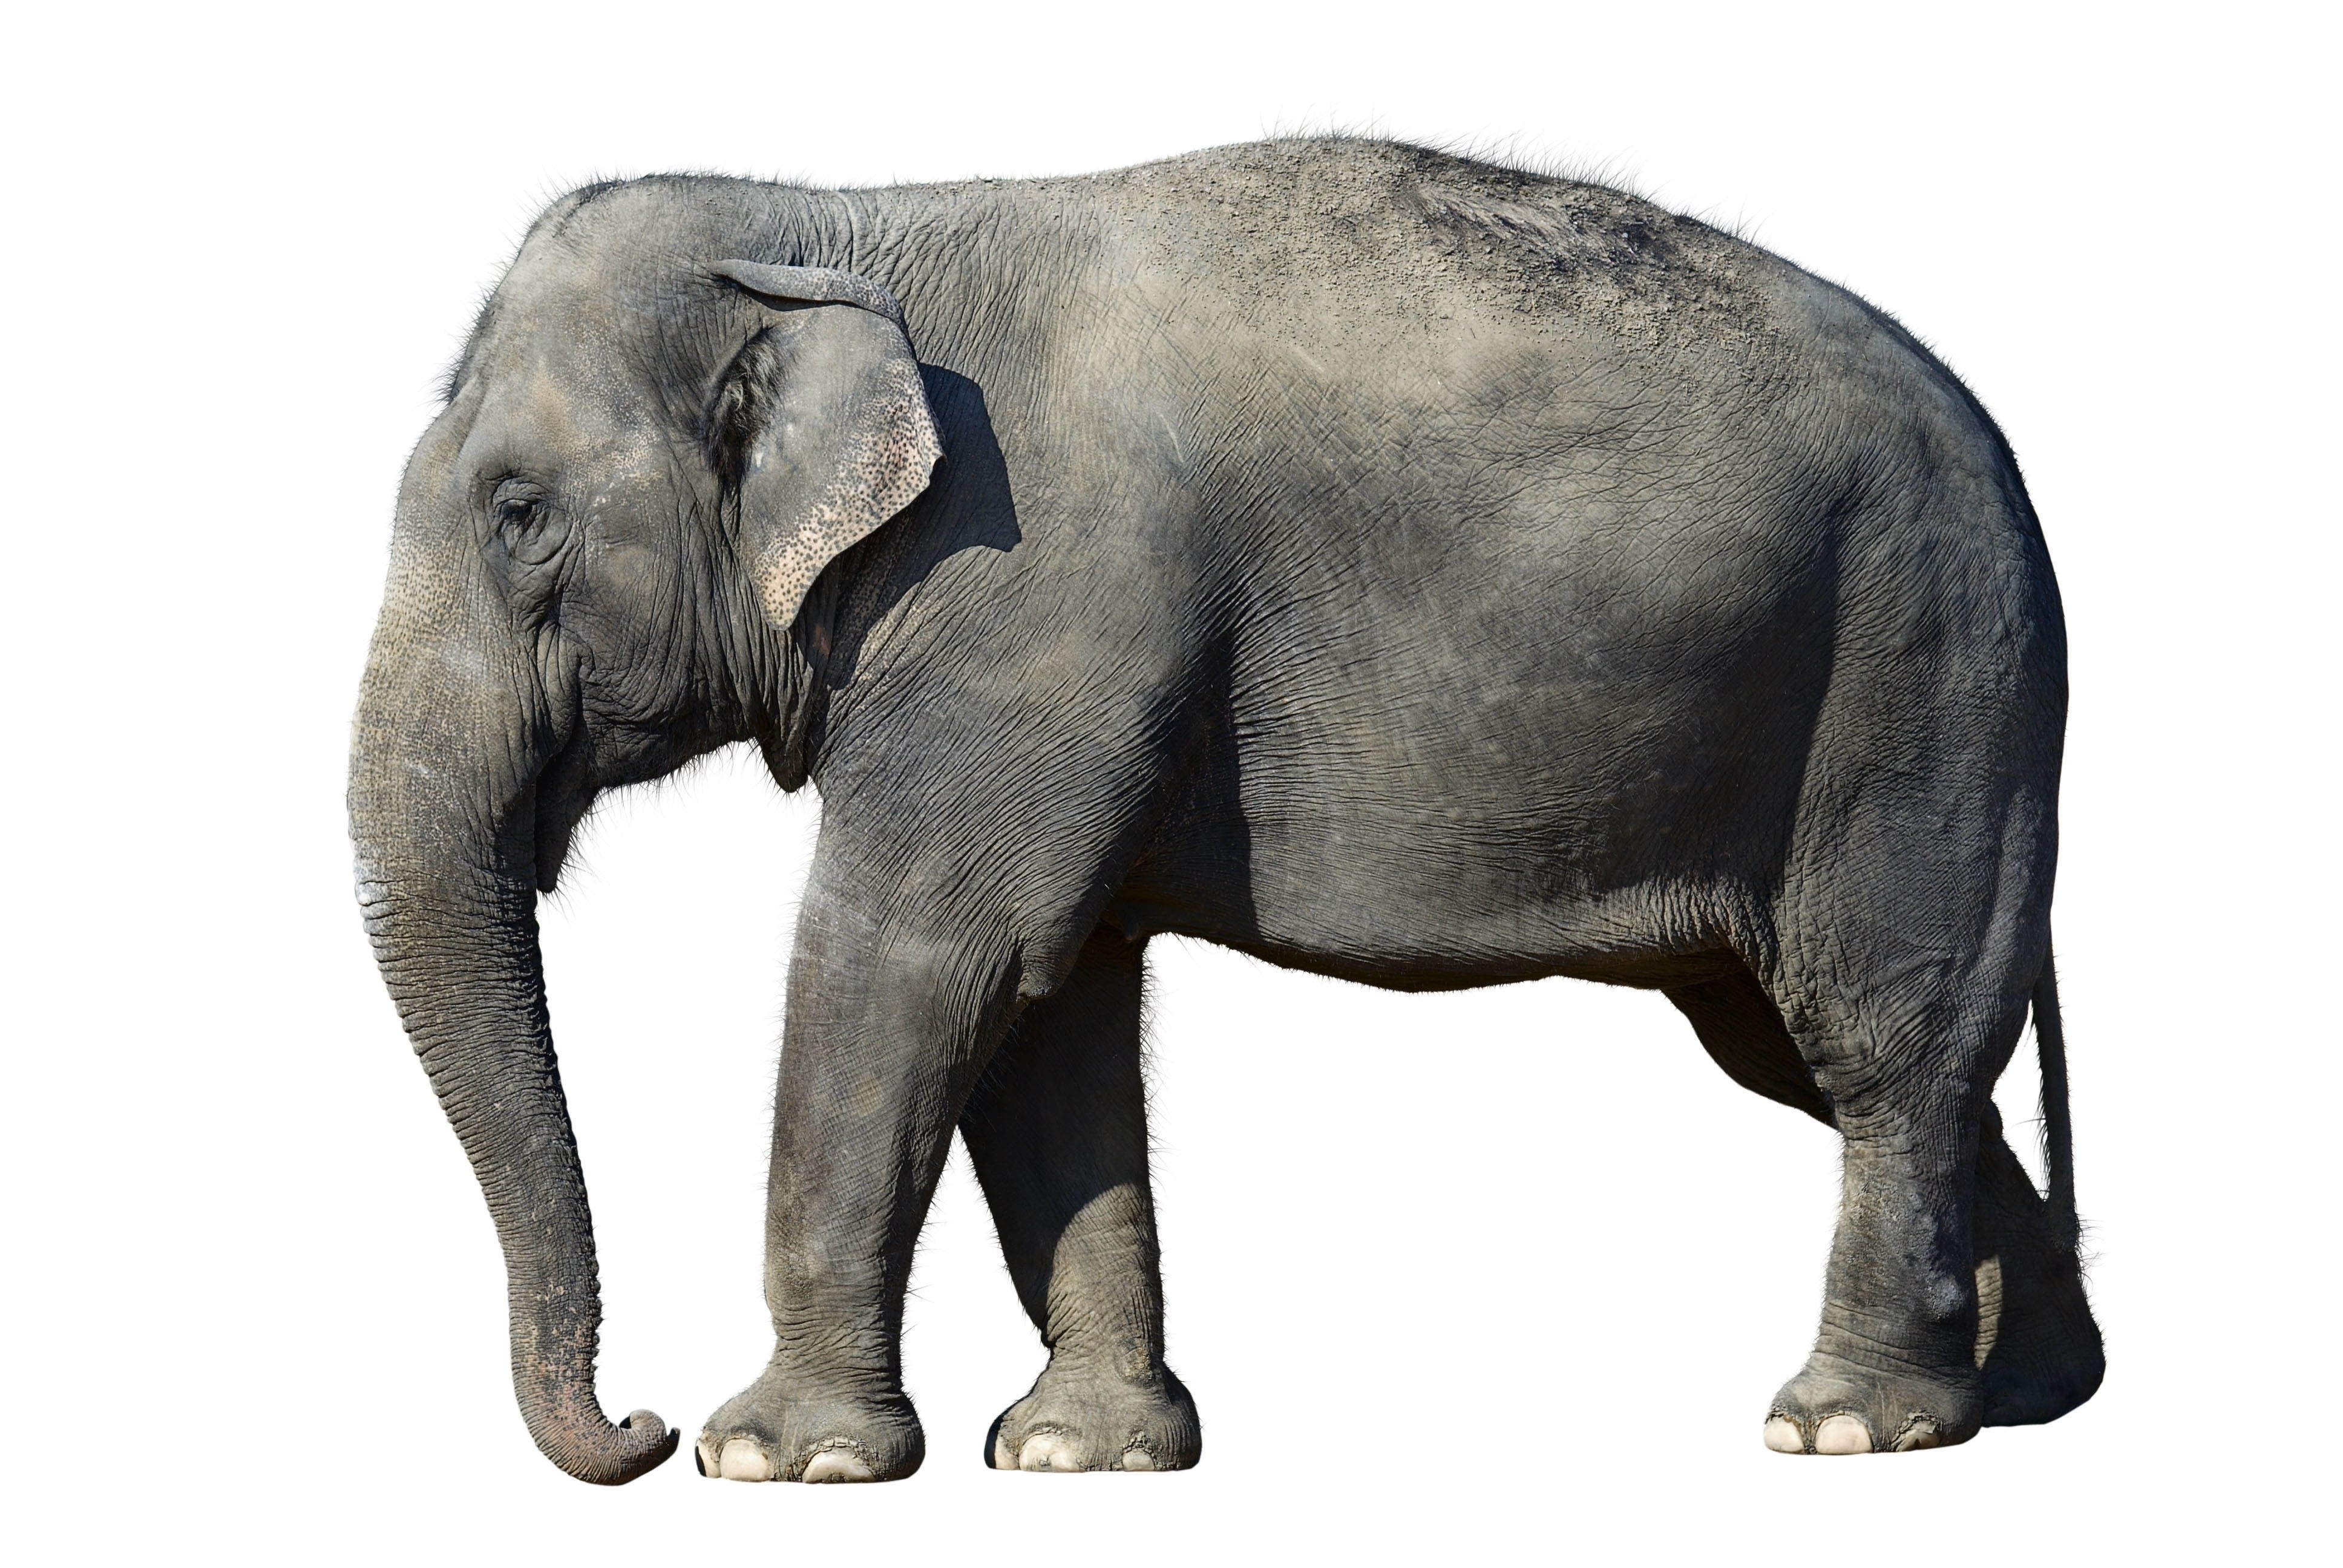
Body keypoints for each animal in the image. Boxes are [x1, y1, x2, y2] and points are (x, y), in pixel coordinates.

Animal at [349, 137, 2104, 1485]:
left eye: (521, 515)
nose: (635, 1425)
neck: (836, 220)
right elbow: (1051, 1018)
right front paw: (1080, 1455)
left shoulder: (1026, 591)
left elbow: (921, 963)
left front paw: (782, 1461)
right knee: (1833, 1048)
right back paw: (2020, 1396)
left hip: (1922, 676)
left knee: (1878, 1035)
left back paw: (1848, 1427)